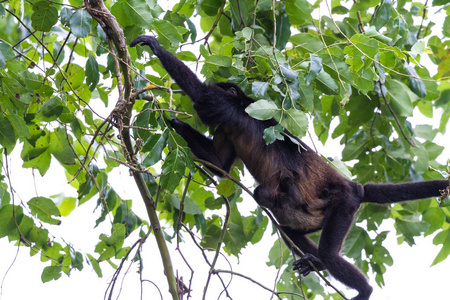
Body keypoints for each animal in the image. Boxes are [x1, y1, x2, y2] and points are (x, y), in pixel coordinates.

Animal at [131, 34, 450, 300]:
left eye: (215, 97)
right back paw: (316, 262)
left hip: (344, 203)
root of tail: (355, 187)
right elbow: (220, 164)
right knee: (291, 231)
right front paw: (176, 124)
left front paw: (154, 45)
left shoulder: (223, 107)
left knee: (298, 220)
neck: (239, 108)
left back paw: (361, 289)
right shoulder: (224, 128)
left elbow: (199, 92)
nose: (196, 114)